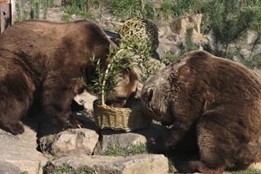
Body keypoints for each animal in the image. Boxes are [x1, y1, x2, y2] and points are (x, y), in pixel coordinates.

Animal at [0, 19, 138, 135]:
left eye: (132, 96)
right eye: (122, 97)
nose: (122, 108)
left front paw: (77, 106)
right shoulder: (70, 59)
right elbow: (59, 92)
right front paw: (74, 122)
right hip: (18, 60)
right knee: (15, 93)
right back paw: (14, 125)